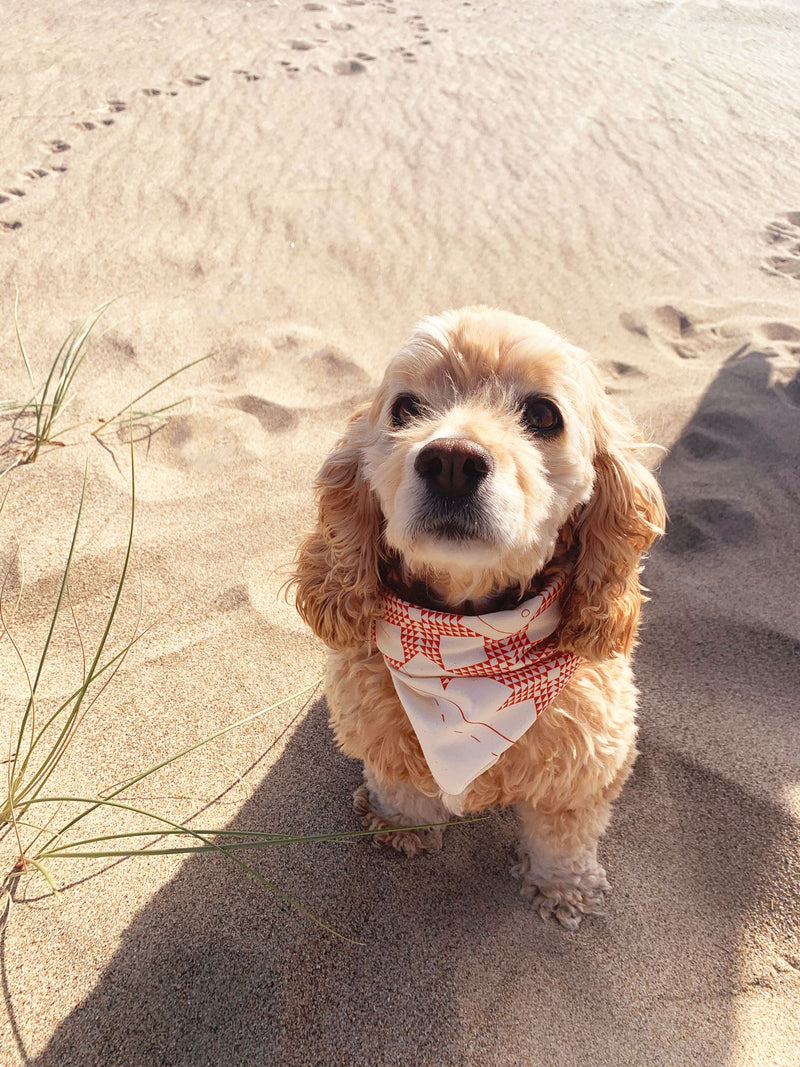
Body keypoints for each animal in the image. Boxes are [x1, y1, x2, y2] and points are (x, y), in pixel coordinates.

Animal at [292, 305, 665, 930]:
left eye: (542, 414)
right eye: (406, 408)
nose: (450, 461)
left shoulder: (588, 762)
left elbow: (564, 835)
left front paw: (562, 889)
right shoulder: (379, 730)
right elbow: (400, 784)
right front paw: (401, 827)